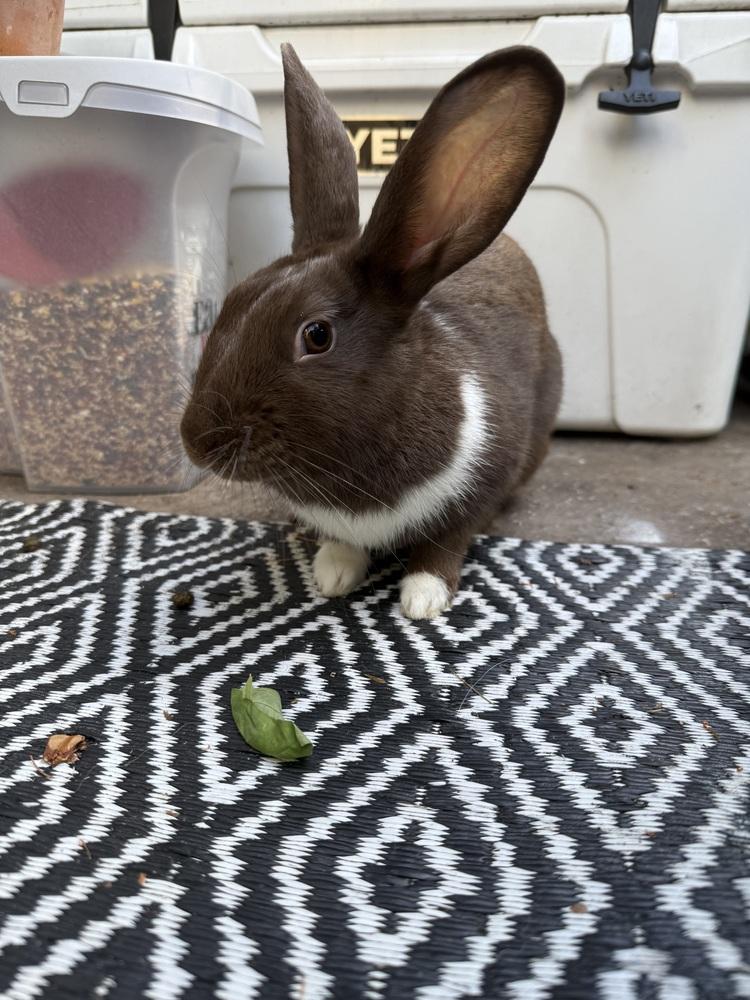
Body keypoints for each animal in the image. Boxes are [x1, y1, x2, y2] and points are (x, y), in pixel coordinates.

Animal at [180, 43, 565, 620]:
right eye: (232, 301)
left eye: (317, 335)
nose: (197, 442)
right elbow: (343, 542)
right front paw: (333, 573)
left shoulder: (482, 481)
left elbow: (446, 541)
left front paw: (423, 598)